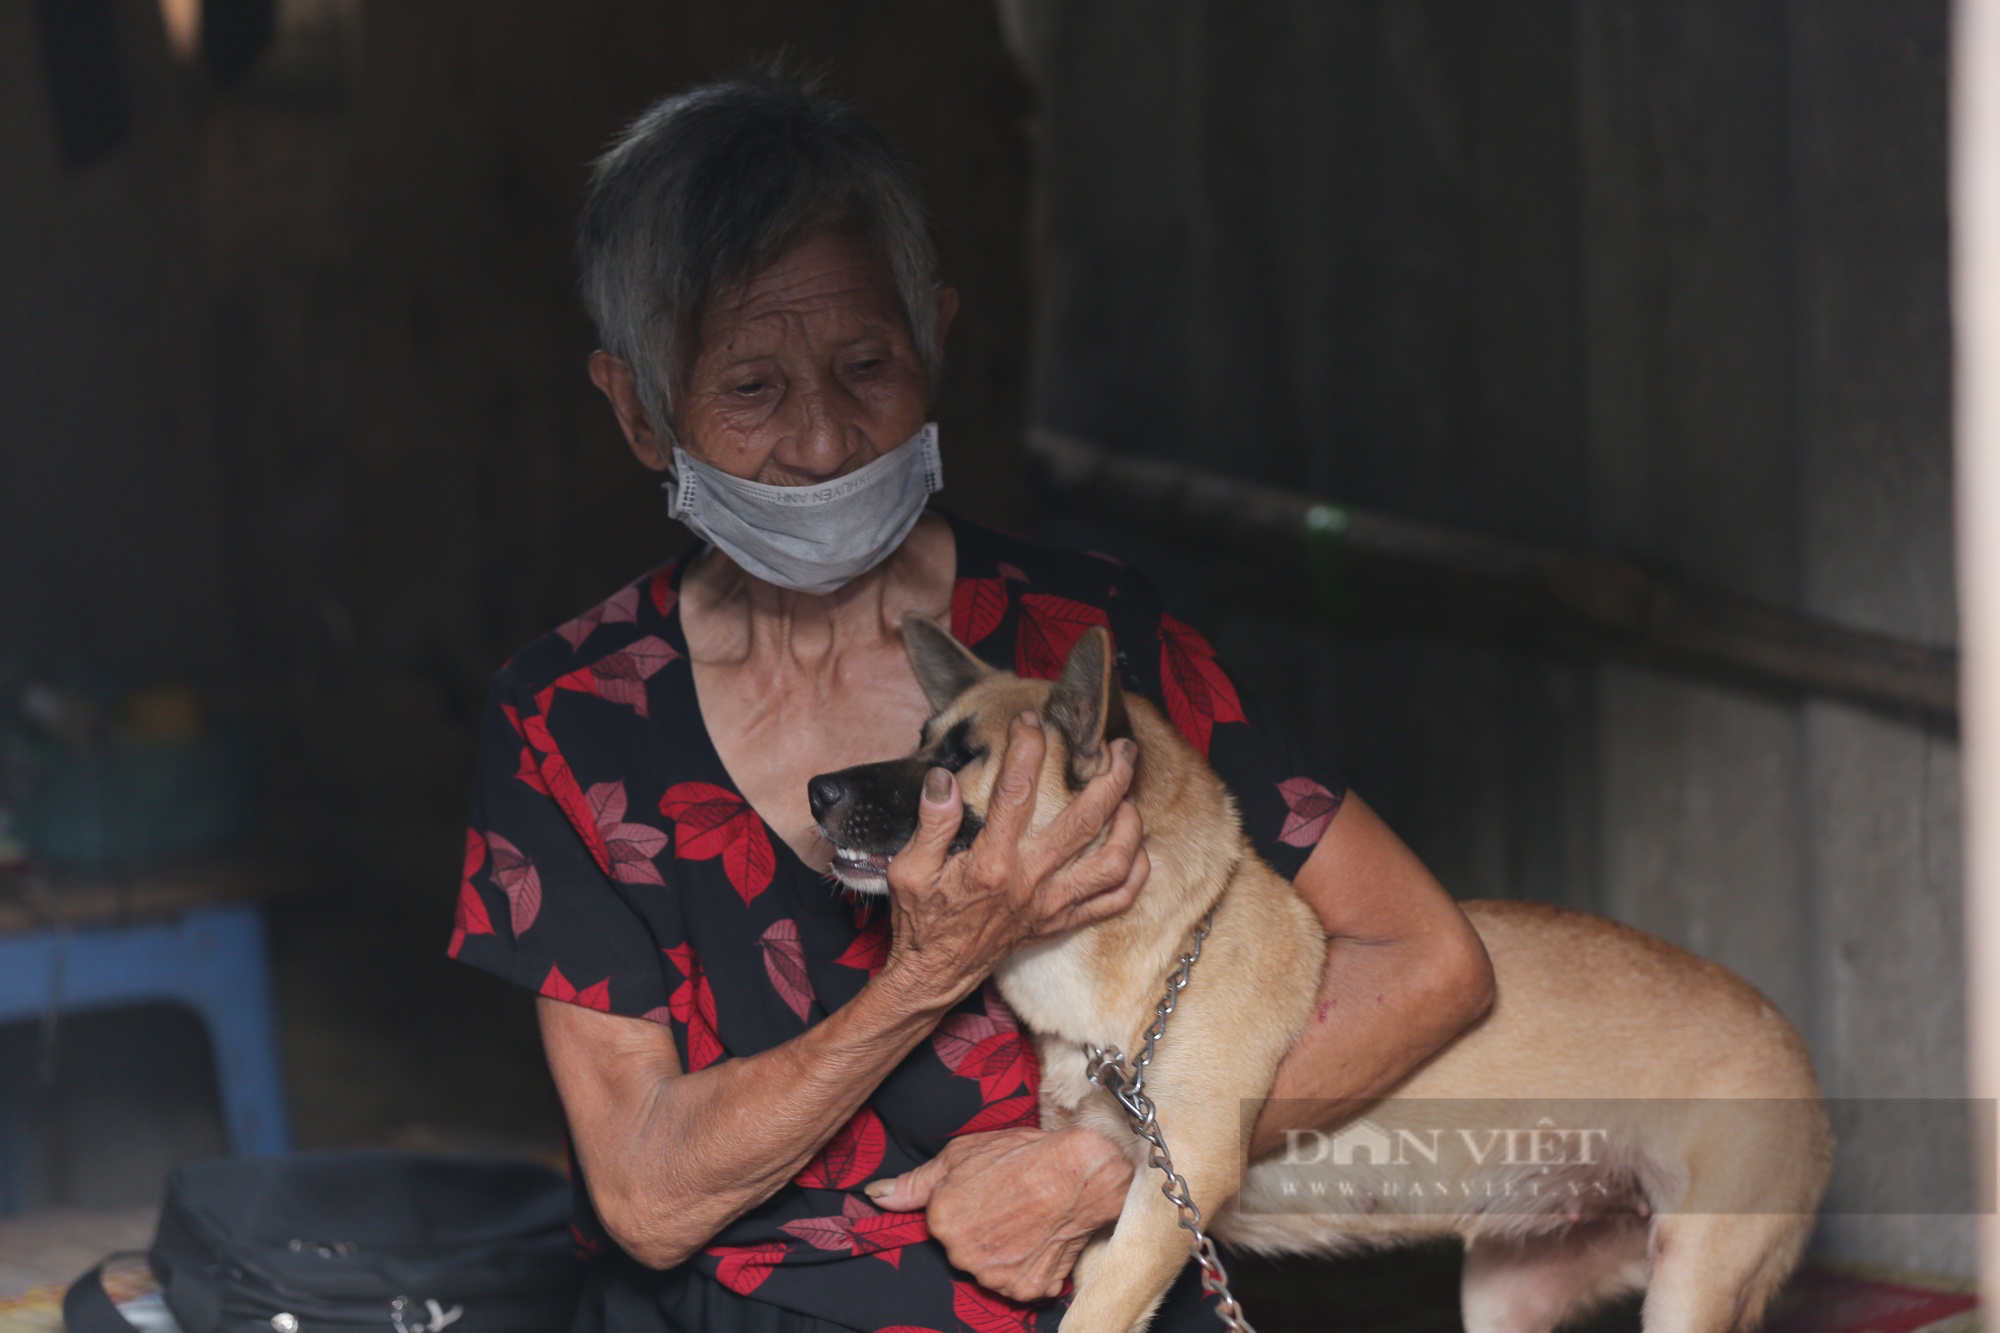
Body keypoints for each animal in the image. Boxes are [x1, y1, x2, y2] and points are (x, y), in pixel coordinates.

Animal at [808, 620, 1832, 1328]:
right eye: (919, 737)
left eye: (959, 763)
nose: (818, 789)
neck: (1159, 956)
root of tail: (1798, 1050)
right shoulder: (1113, 1212)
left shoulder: (1173, 1188)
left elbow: (1092, 1314)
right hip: (1508, 1294)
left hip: (1694, 1283)